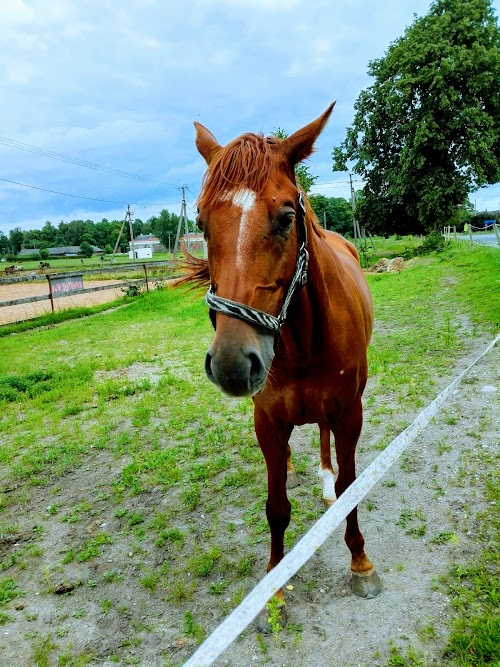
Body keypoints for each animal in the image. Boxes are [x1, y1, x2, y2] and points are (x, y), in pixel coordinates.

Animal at [182, 103, 380, 628]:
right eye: (201, 223)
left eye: (288, 217)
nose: (232, 363)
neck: (302, 341)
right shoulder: (267, 422)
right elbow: (276, 507)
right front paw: (273, 587)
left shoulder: (349, 413)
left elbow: (351, 486)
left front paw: (360, 561)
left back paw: (326, 478)